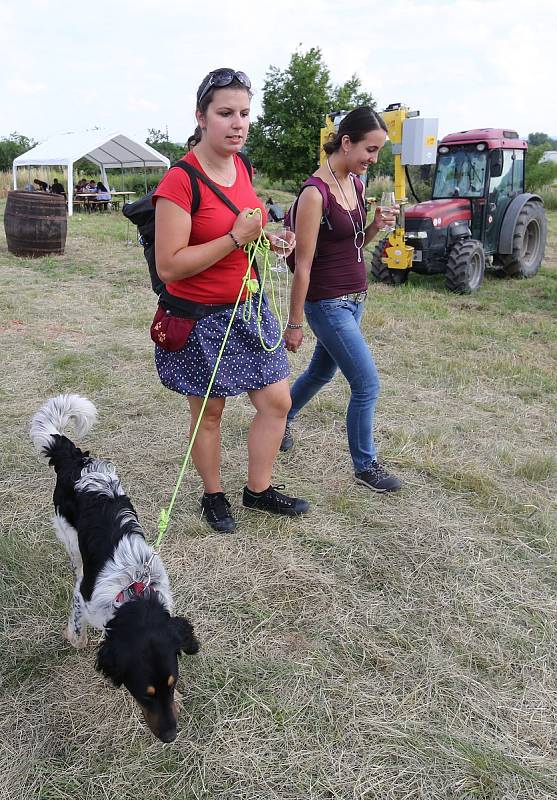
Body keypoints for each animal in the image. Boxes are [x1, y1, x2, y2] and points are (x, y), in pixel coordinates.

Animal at [29, 396, 200, 744]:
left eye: (172, 683)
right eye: (144, 693)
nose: (170, 737)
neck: (132, 591)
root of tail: (77, 458)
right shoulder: (84, 596)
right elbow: (77, 631)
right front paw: (75, 639)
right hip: (68, 535)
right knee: (76, 561)